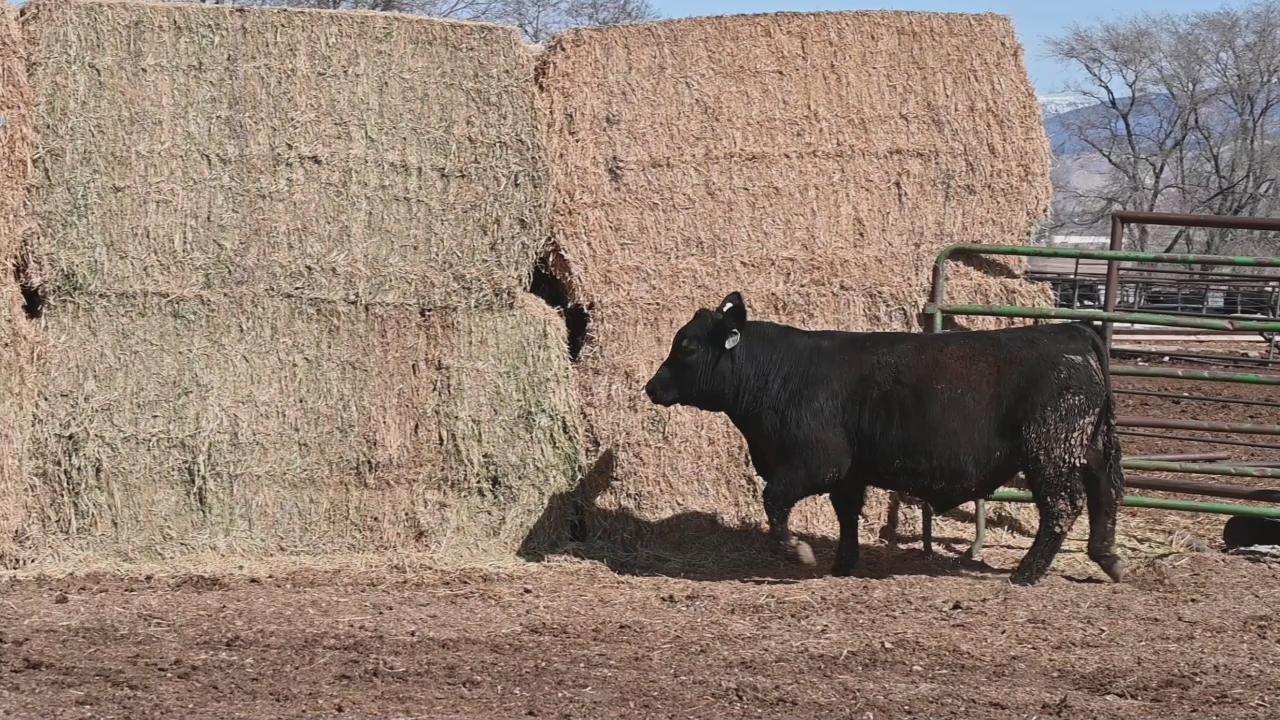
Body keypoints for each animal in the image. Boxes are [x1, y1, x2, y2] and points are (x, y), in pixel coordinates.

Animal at [643, 291, 1127, 586]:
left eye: (687, 347)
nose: (651, 387)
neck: (779, 372)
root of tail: (1069, 329)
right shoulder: (849, 474)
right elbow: (846, 516)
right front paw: (842, 564)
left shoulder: (819, 463)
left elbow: (775, 501)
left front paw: (798, 552)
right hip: (1087, 447)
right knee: (1105, 494)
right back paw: (1108, 557)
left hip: (1050, 450)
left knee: (1063, 505)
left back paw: (1027, 572)